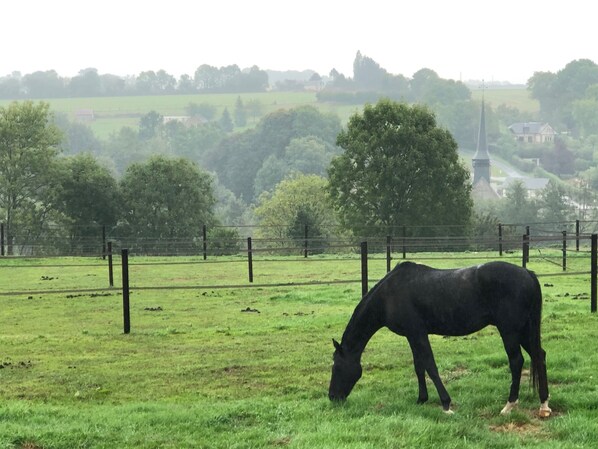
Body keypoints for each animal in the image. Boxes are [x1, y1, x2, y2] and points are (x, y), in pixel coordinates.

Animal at [328, 260, 552, 414]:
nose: (332, 397)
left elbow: (430, 366)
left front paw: (446, 404)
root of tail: (527, 273)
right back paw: (544, 404)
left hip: (510, 330)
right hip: (524, 330)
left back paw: (509, 405)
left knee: (517, 361)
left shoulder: (417, 333)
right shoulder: (413, 335)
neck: (389, 296)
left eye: (336, 367)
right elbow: (419, 366)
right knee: (539, 355)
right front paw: (421, 399)